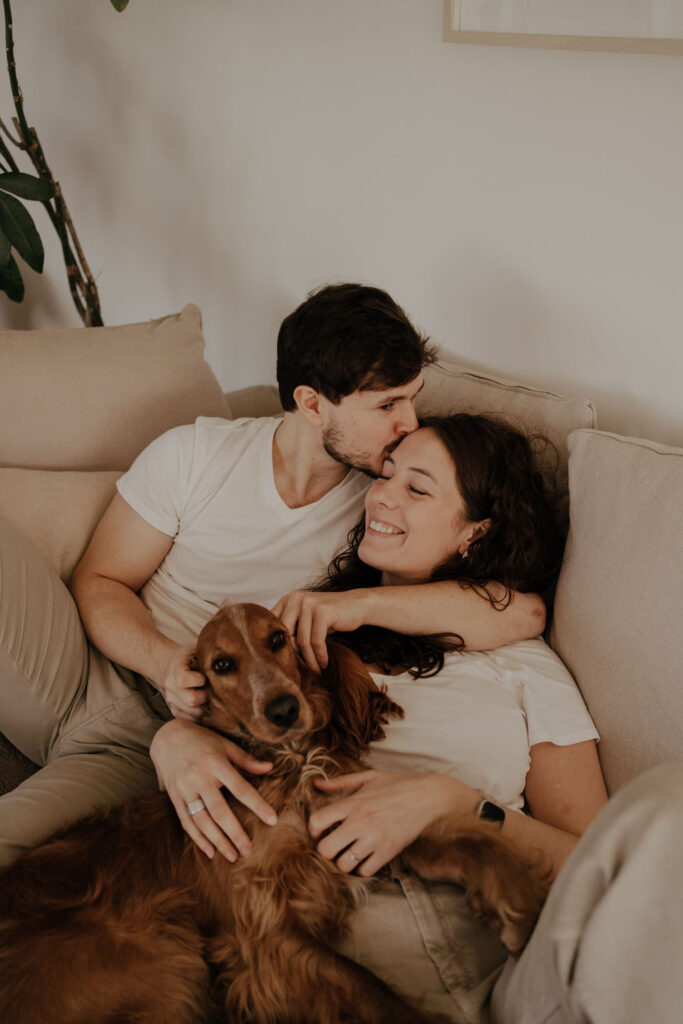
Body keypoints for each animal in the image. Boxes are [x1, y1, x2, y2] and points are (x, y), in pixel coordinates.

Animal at [0, 602, 548, 1019]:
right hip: (168, 958)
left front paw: (524, 908)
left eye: (279, 638)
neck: (295, 764)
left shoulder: (361, 828)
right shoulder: (266, 930)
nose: (282, 709)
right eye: (221, 665)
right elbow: (372, 991)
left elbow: (475, 842)